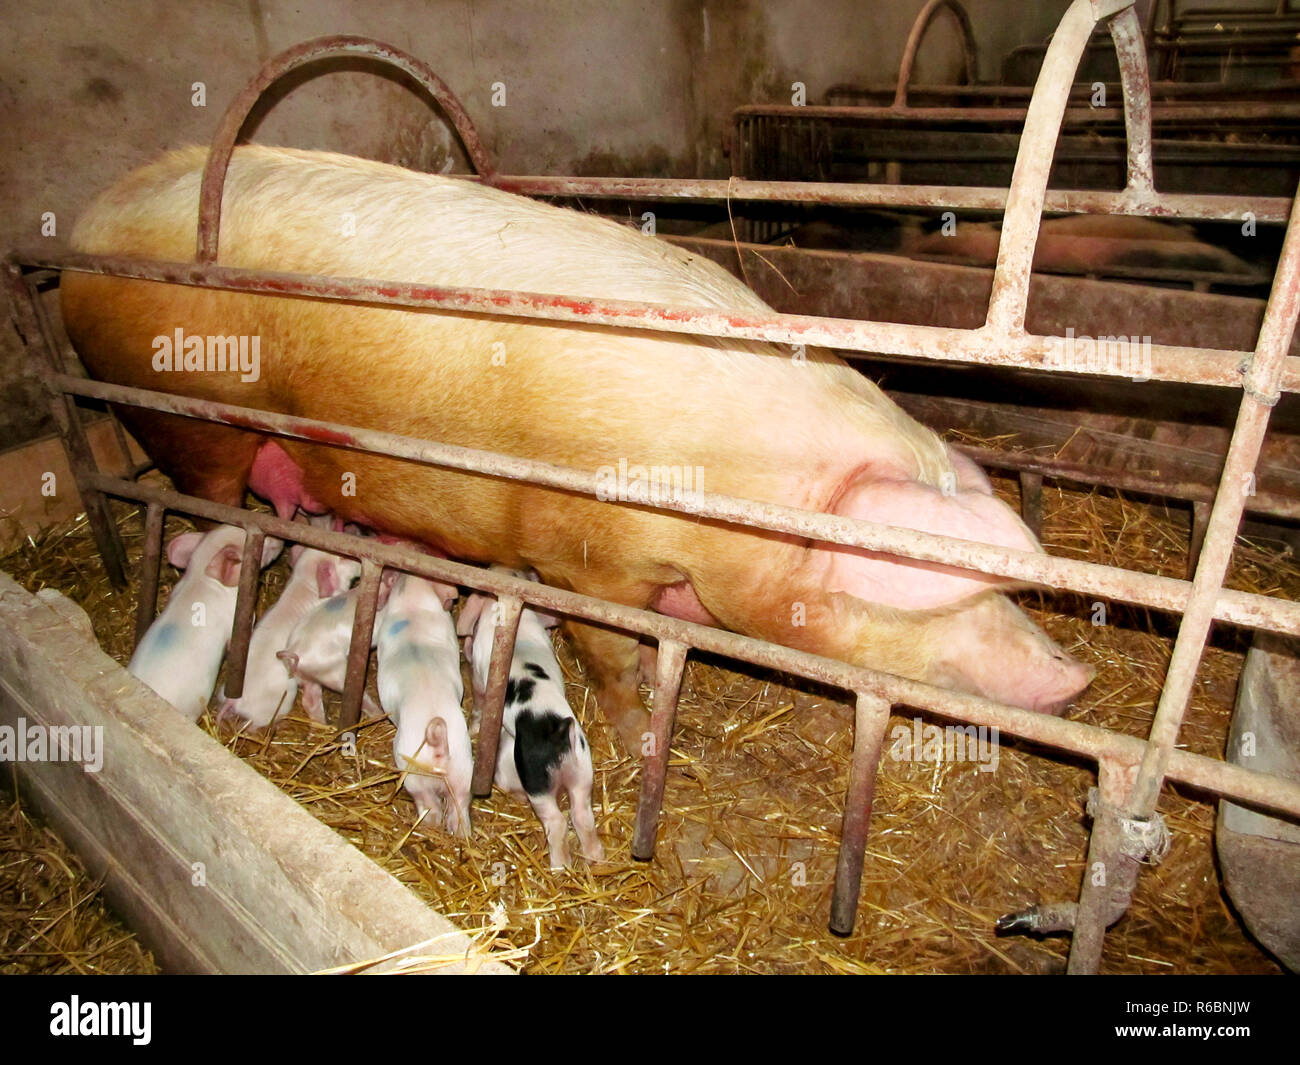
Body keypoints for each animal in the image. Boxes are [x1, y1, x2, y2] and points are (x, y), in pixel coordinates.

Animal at [61, 145, 1097, 754]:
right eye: (929, 590)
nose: (1075, 676)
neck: (732, 499)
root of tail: (85, 224)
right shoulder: (586, 558)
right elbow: (610, 654)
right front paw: (641, 733)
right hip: (186, 418)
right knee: (206, 503)